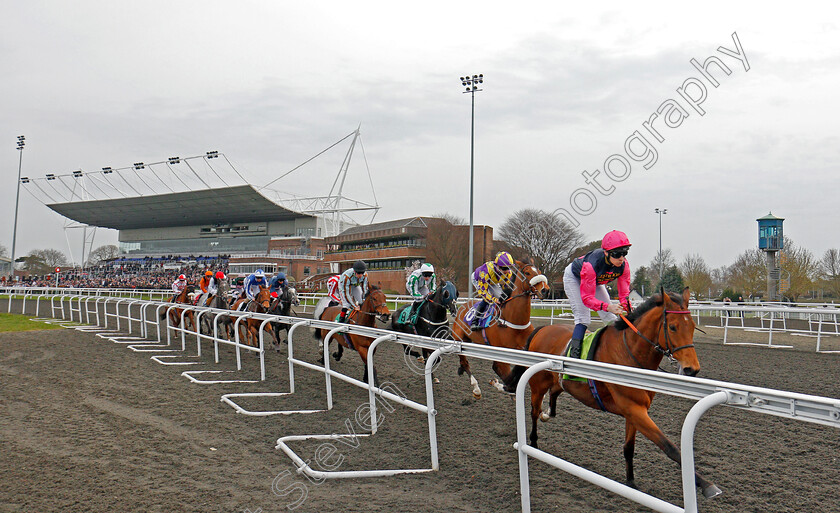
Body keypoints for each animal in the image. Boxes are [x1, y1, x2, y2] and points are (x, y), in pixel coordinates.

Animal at [452, 260, 552, 400]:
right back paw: (476, 389)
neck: (514, 321)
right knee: (464, 362)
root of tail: (462, 307)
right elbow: (508, 381)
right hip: (459, 340)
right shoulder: (501, 356)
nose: (545, 290)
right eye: (527, 273)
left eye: (539, 271)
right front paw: (498, 385)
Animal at [502, 288, 724, 500]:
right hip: (538, 383)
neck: (629, 354)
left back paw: (548, 414)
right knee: (533, 411)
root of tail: (542, 329)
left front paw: (631, 482)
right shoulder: (633, 408)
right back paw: (533, 442)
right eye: (673, 327)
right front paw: (707, 485)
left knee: (555, 392)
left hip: (561, 381)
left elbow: (629, 447)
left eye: (692, 327)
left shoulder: (635, 410)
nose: (691, 369)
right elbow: (669, 447)